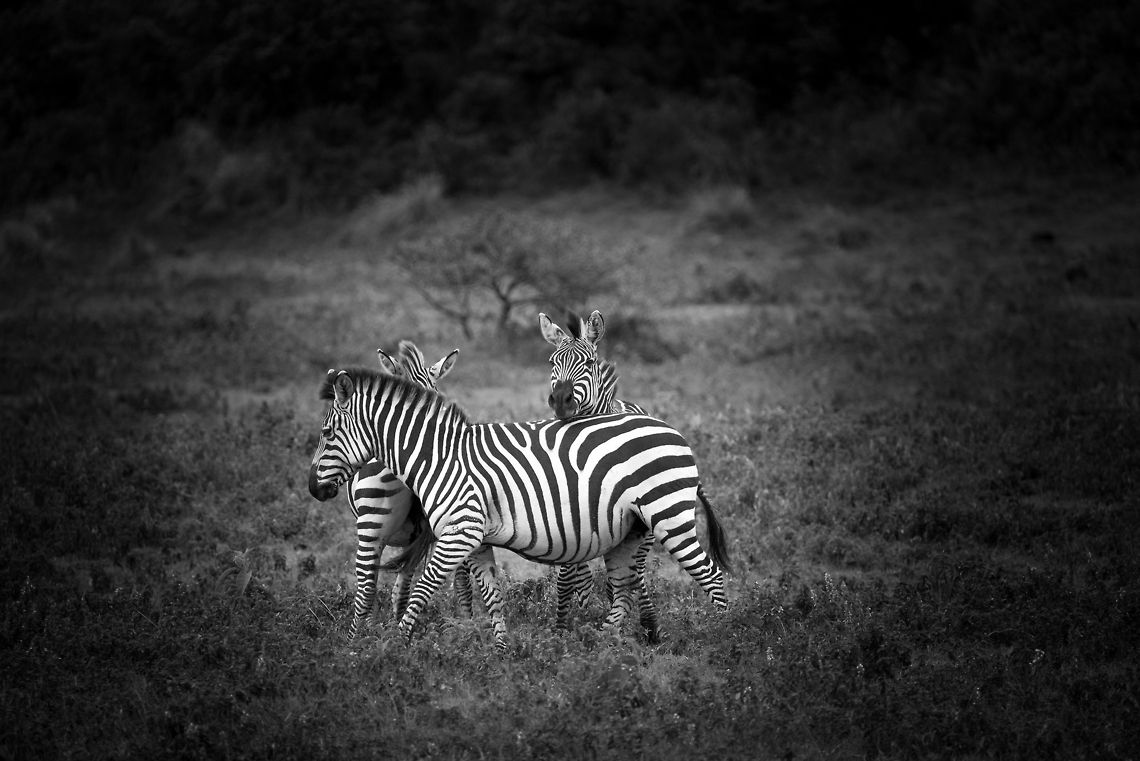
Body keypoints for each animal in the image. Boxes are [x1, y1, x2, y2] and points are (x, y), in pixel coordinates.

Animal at [308, 366, 730, 651]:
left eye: (327, 434)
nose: (313, 488)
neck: (438, 458)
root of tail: (673, 431)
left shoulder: (459, 534)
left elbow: (423, 590)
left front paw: (393, 648)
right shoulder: (475, 540)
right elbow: (493, 596)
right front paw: (500, 653)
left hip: (669, 515)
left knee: (711, 575)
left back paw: (729, 640)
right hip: (631, 531)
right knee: (625, 591)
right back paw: (597, 649)